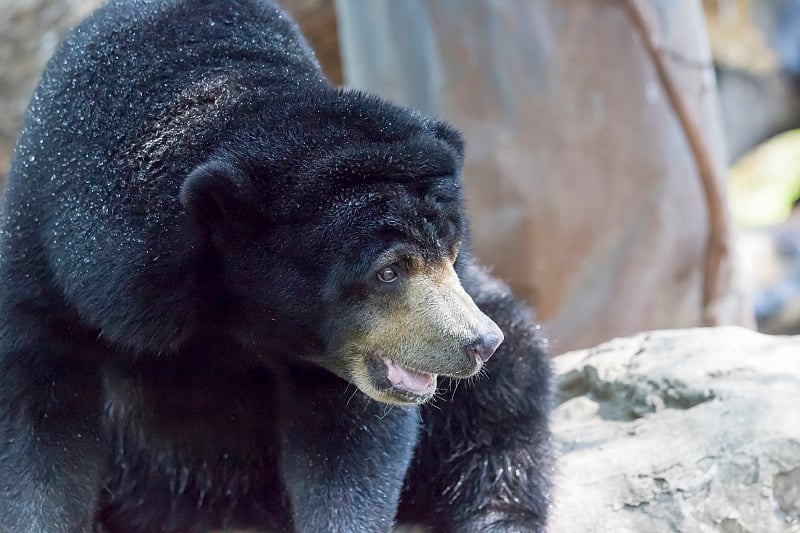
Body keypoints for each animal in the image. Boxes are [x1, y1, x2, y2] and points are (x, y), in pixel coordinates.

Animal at [0, 0, 552, 528]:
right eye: (387, 271)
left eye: (451, 248)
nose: (479, 342)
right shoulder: (46, 269)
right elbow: (36, 423)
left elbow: (350, 439)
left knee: (509, 387)